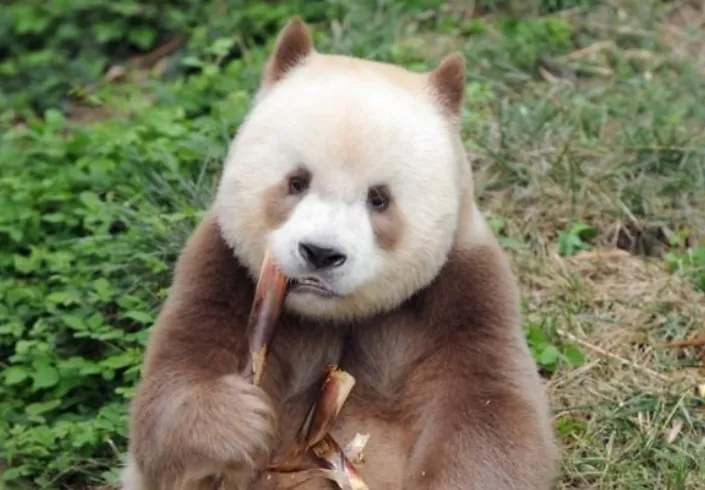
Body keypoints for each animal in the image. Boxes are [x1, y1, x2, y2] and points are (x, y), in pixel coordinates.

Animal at [120, 17, 558, 490]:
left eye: (379, 199)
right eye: (296, 181)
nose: (320, 253)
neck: (335, 317)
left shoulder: (465, 292)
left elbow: (491, 416)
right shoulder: (222, 271)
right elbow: (171, 386)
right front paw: (238, 423)